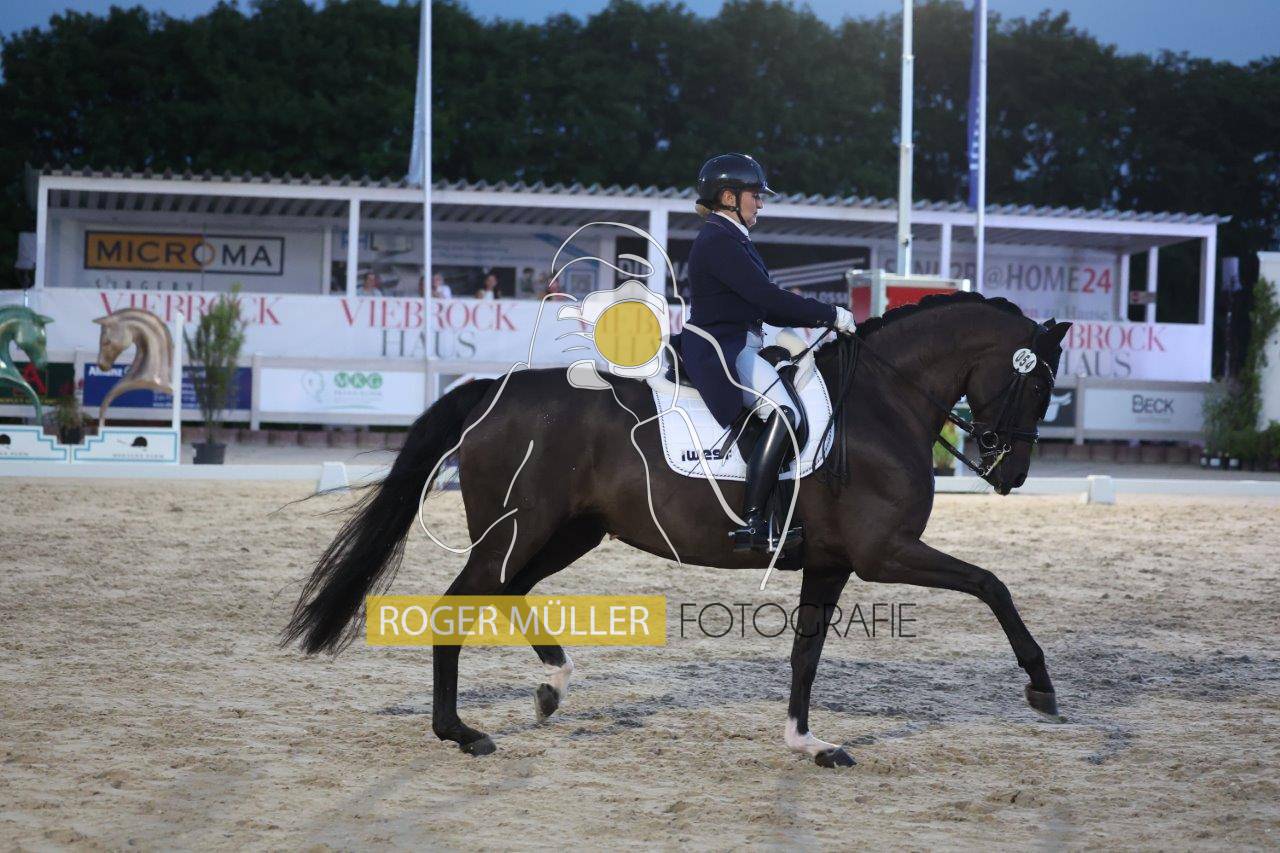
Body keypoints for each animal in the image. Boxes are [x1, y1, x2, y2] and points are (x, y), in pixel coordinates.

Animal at [283, 290, 1072, 768]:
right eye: (1038, 382)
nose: (1011, 473)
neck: (879, 403)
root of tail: (492, 394)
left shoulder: (833, 561)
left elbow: (806, 654)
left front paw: (808, 742)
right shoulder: (885, 553)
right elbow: (992, 584)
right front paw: (1041, 686)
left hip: (564, 533)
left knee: (504, 594)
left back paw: (552, 686)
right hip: (520, 531)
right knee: (457, 607)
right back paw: (461, 732)